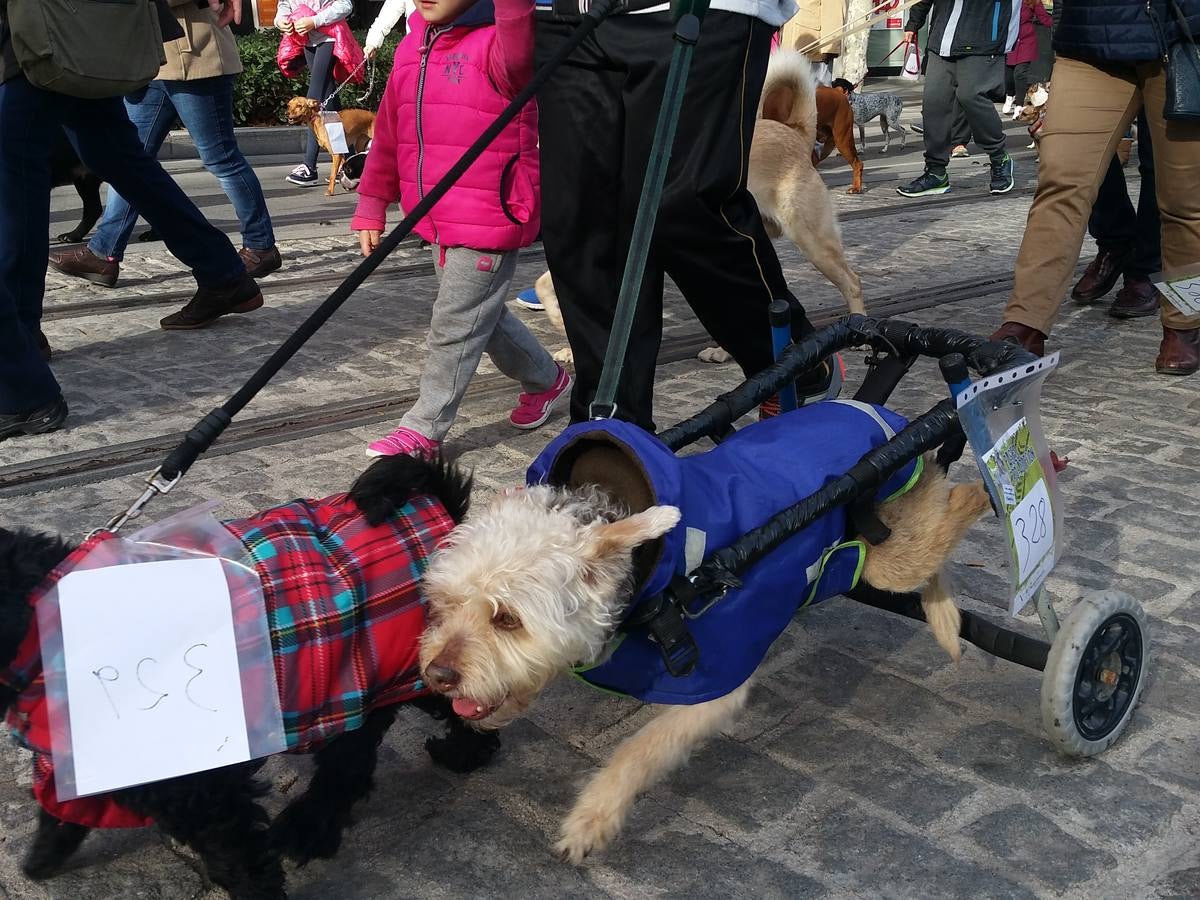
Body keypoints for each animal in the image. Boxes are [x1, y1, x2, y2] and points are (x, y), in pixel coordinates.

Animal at [532, 51, 864, 367]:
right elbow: (549, 289)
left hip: (813, 241)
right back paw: (724, 351)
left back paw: (859, 330)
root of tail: (793, 131)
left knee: (852, 282)